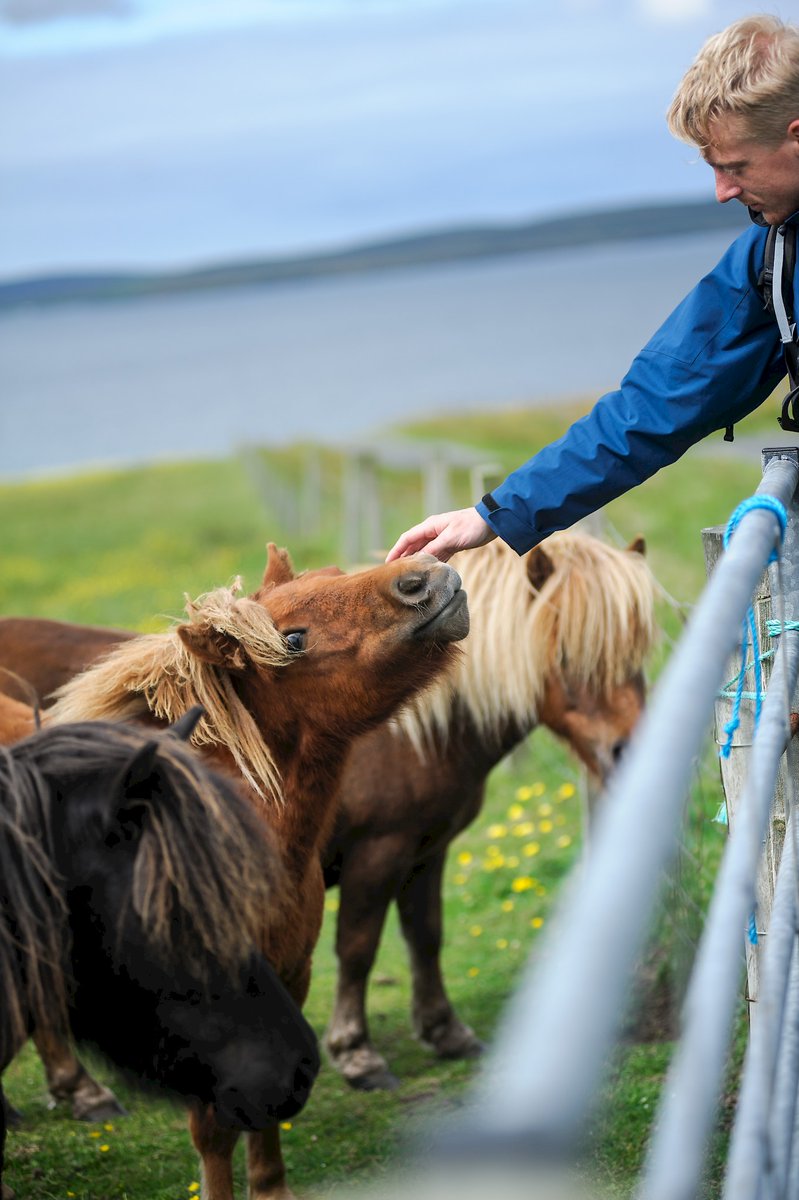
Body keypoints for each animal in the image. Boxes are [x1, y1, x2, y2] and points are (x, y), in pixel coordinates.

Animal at [1, 547, 467, 1200]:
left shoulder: (286, 981)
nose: (423, 578)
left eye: (332, 577)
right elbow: (215, 1131)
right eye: (292, 640)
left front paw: (270, 1189)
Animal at [321, 530, 657, 1094]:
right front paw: (356, 1055)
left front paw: (445, 1031)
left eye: (637, 652)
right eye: (564, 652)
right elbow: (357, 947)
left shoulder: (425, 850)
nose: (629, 752)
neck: (399, 732)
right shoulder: (376, 852)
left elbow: (426, 935)